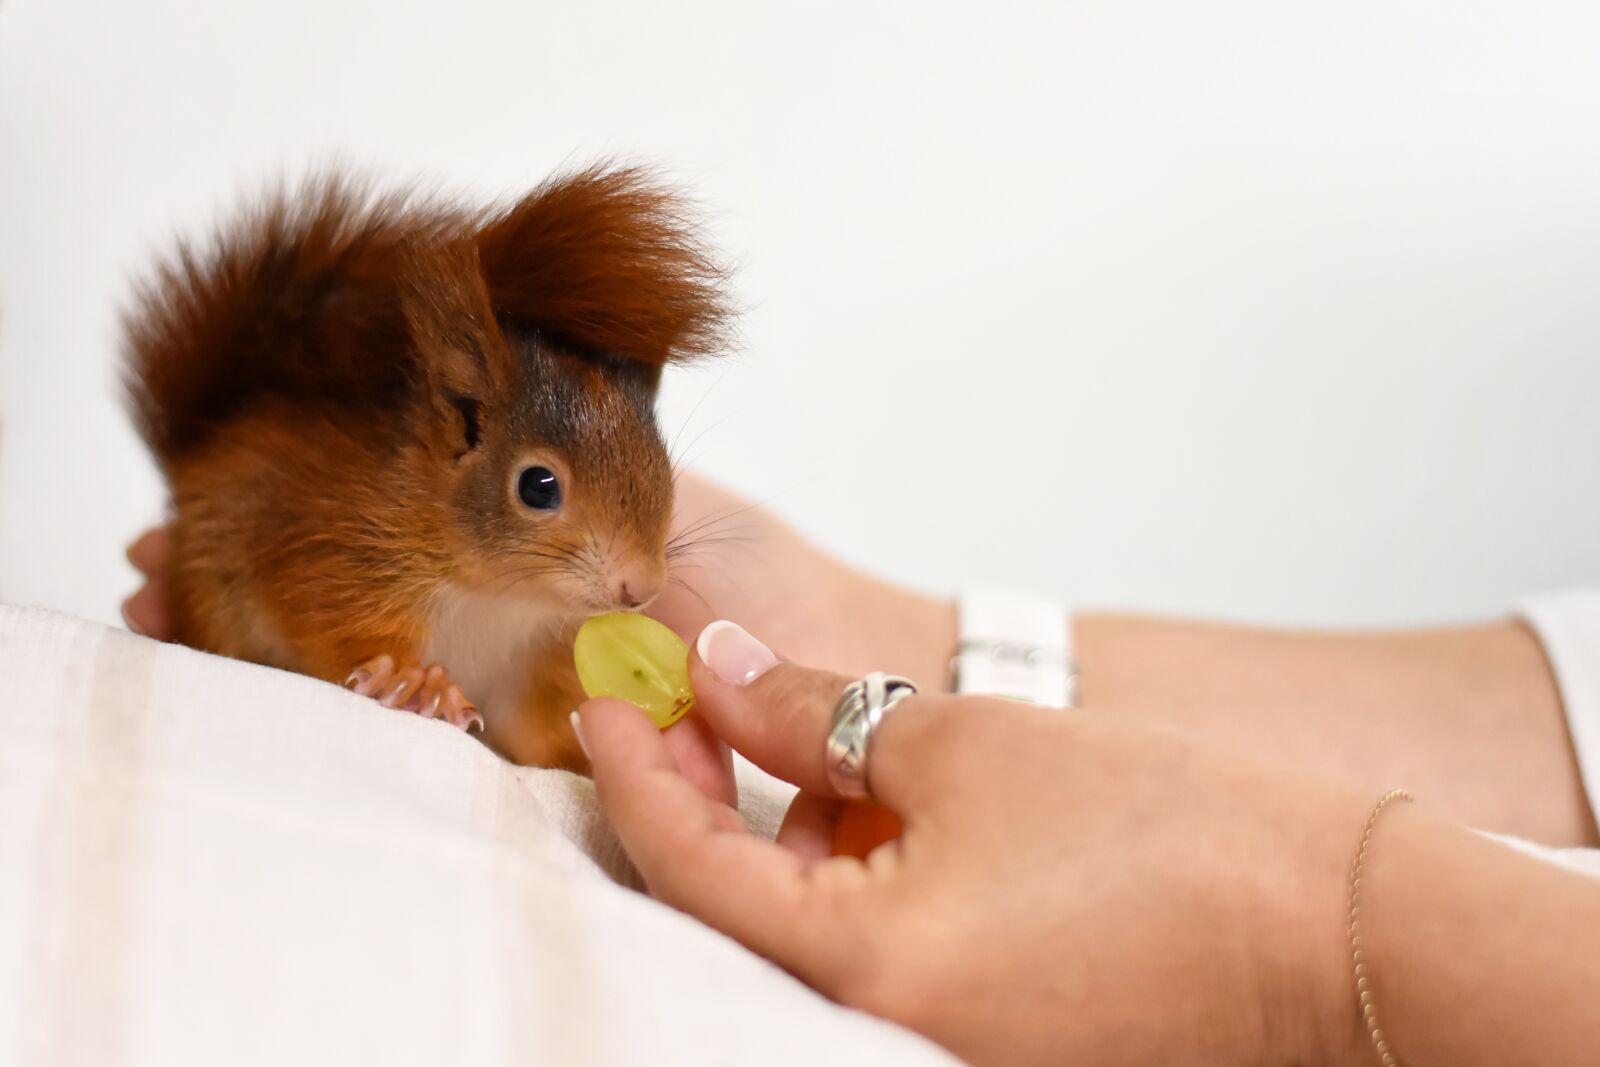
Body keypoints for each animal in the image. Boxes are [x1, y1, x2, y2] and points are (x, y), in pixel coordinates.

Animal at [123, 165, 732, 769]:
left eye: (662, 469)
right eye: (537, 486)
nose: (642, 586)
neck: (501, 597)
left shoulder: (529, 664)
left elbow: (534, 734)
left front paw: (580, 754)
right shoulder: (336, 550)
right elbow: (327, 616)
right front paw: (414, 680)